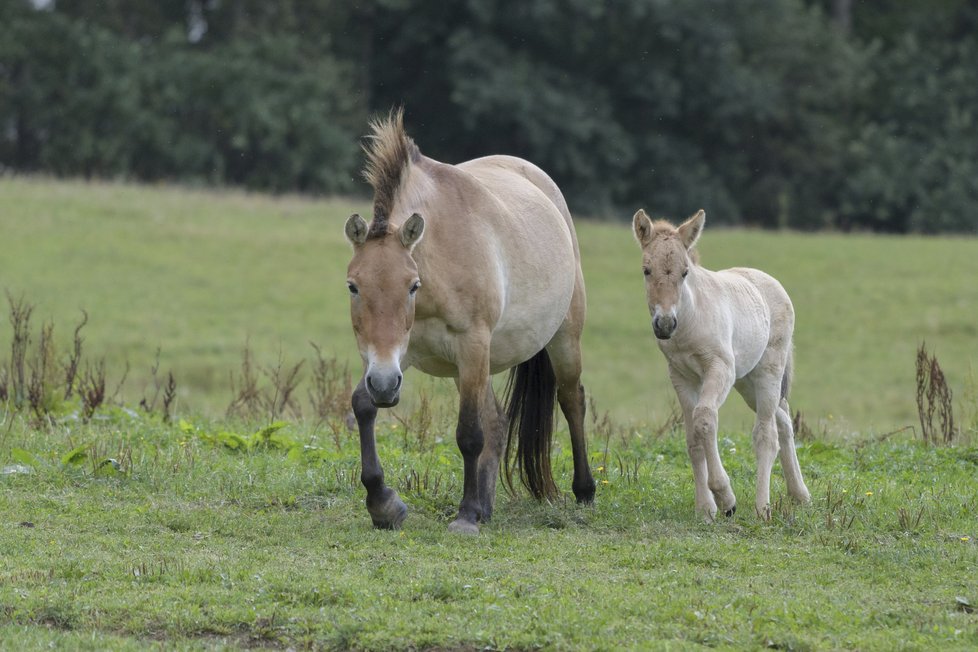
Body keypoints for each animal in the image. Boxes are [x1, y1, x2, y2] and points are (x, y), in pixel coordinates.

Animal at [342, 108, 596, 536]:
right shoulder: (393, 355)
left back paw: (584, 491)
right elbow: (363, 406)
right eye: (353, 286)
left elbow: (469, 434)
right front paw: (384, 504)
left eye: (411, 286)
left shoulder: (471, 345)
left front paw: (465, 515)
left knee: (570, 399)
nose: (386, 385)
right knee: (498, 422)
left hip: (562, 338)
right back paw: (487, 507)